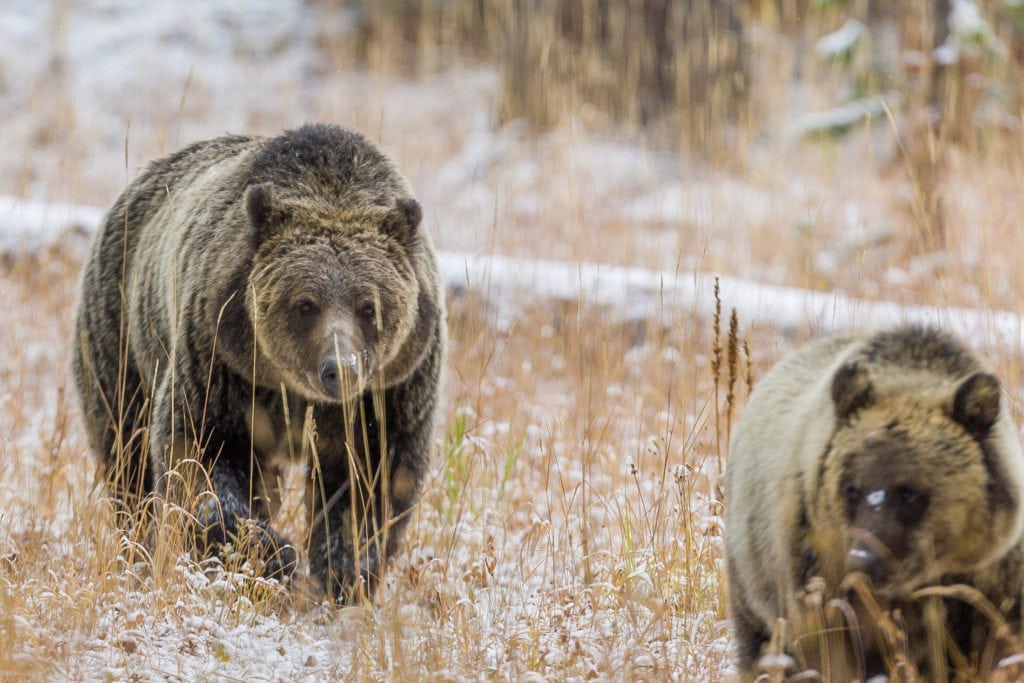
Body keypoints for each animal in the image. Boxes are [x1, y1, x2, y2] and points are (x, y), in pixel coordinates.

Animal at [72, 123, 446, 602]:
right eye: (305, 304)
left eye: (370, 306)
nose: (339, 369)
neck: (293, 389)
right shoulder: (222, 361)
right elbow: (201, 455)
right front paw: (273, 554)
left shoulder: (390, 389)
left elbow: (369, 481)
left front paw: (343, 572)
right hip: (124, 335)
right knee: (126, 455)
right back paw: (139, 549)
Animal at [724, 325, 1024, 679]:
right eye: (852, 489)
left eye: (909, 492)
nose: (863, 560)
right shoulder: (822, 576)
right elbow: (829, 649)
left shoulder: (988, 585)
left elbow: (997, 648)